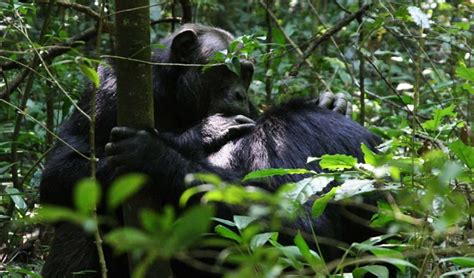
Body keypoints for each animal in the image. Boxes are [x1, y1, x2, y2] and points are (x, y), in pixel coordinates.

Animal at [39, 24, 352, 278]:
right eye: (227, 69)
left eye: (246, 73)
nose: (240, 93)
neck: (172, 92)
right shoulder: (106, 90)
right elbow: (59, 172)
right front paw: (205, 130)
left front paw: (154, 155)